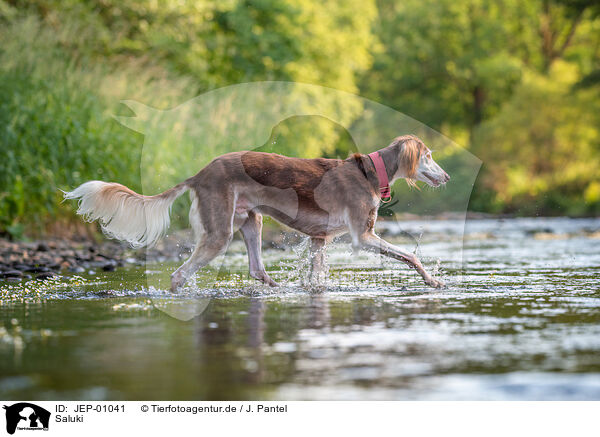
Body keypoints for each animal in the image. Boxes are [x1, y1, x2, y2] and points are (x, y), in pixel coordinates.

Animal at [65, 133, 450, 290]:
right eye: (429, 156)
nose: (447, 177)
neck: (370, 172)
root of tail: (199, 173)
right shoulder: (363, 236)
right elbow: (411, 256)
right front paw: (432, 280)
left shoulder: (319, 239)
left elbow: (315, 277)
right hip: (219, 233)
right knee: (178, 275)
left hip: (252, 220)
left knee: (256, 270)